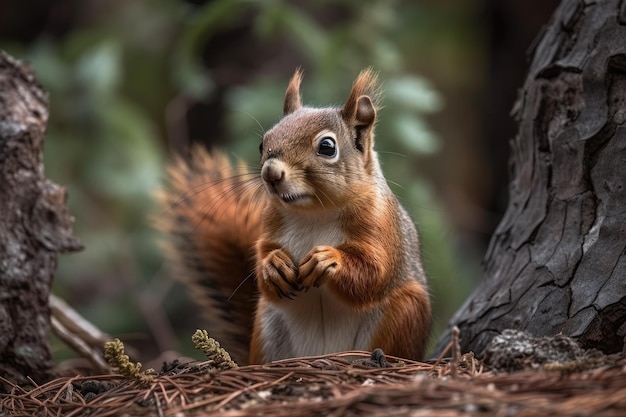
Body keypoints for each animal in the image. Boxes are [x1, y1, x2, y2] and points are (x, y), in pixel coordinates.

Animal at [156, 69, 428, 364]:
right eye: (262, 143)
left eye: (327, 146)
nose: (271, 173)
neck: (315, 213)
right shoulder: (270, 225)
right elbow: (263, 260)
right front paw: (273, 264)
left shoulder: (381, 225)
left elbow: (374, 272)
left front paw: (328, 259)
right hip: (267, 327)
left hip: (404, 311)